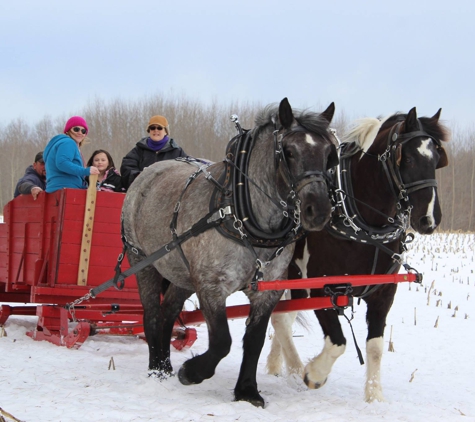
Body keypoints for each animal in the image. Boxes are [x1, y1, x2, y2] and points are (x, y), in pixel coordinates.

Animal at [122, 97, 338, 408]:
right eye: (288, 151)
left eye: (329, 153)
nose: (318, 211)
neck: (241, 216)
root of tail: (149, 172)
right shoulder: (212, 285)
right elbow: (222, 341)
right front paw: (192, 372)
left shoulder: (268, 290)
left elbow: (255, 340)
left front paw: (247, 390)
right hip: (143, 261)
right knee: (151, 315)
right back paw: (156, 371)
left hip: (182, 273)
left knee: (167, 312)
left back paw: (164, 365)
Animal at [268, 106, 450, 402]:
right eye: (408, 158)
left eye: (436, 158)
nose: (430, 219)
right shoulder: (322, 288)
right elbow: (338, 343)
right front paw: (313, 374)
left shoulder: (383, 292)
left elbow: (375, 346)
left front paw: (374, 397)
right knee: (281, 320)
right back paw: (295, 370)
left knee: (281, 318)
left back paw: (276, 365)